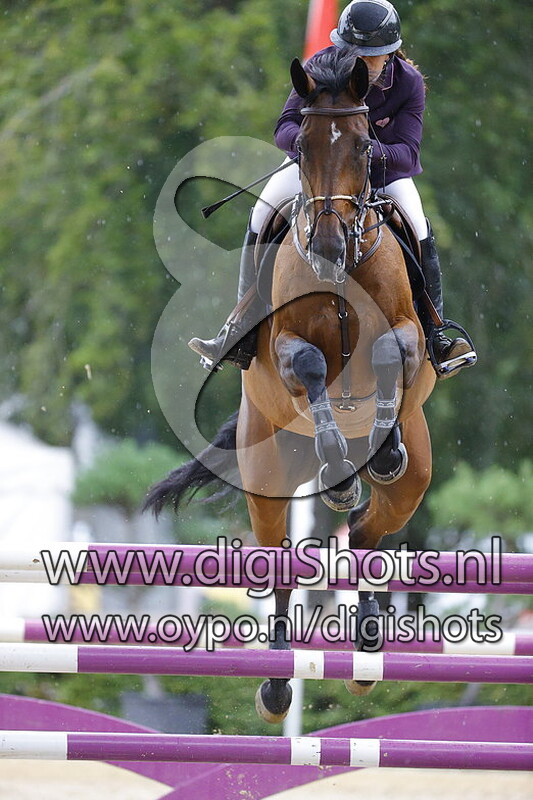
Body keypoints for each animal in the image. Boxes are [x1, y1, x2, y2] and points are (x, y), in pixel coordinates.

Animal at [145, 51, 436, 723]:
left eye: (364, 145)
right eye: (300, 145)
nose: (326, 246)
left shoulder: (407, 332)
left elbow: (394, 352)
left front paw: (380, 449)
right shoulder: (283, 349)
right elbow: (308, 367)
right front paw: (342, 455)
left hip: (413, 485)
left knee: (367, 536)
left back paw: (368, 641)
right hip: (269, 476)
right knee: (281, 564)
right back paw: (278, 684)